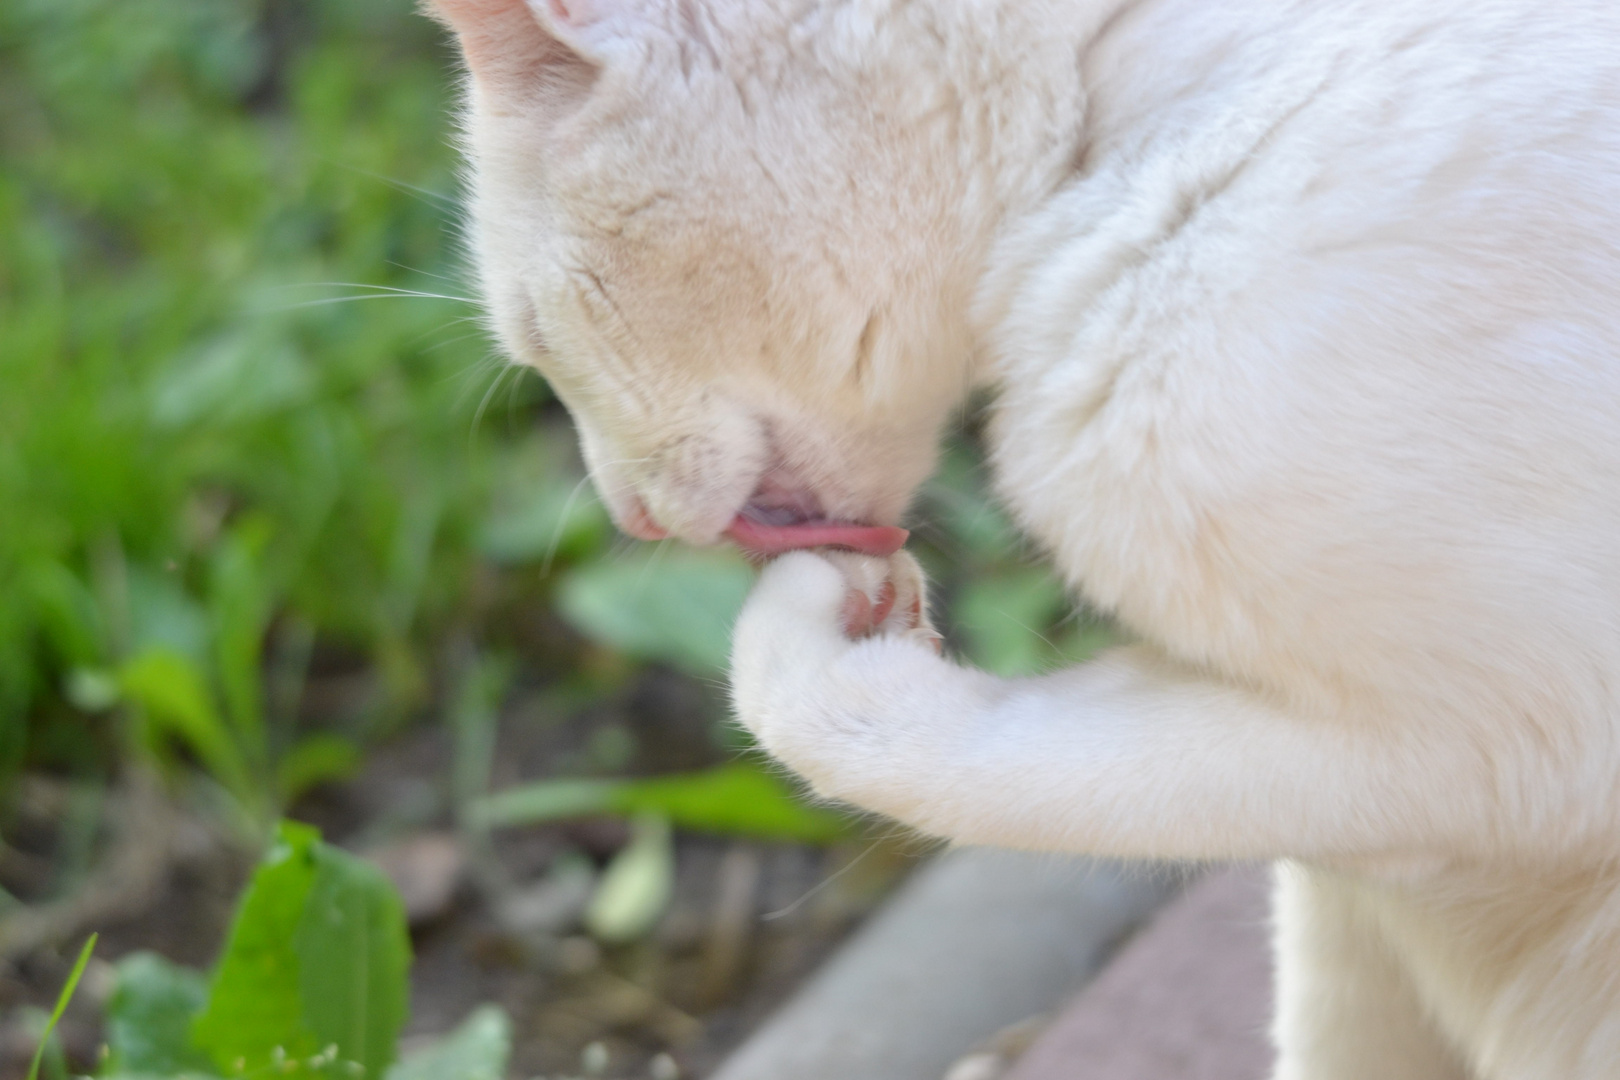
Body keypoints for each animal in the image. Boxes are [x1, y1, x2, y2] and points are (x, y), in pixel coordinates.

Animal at [430, 0, 1620, 1075]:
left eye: (536, 338)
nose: (623, 513)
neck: (1123, 69)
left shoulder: (1498, 752)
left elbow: (874, 736)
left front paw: (819, 627)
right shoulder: (1344, 872)